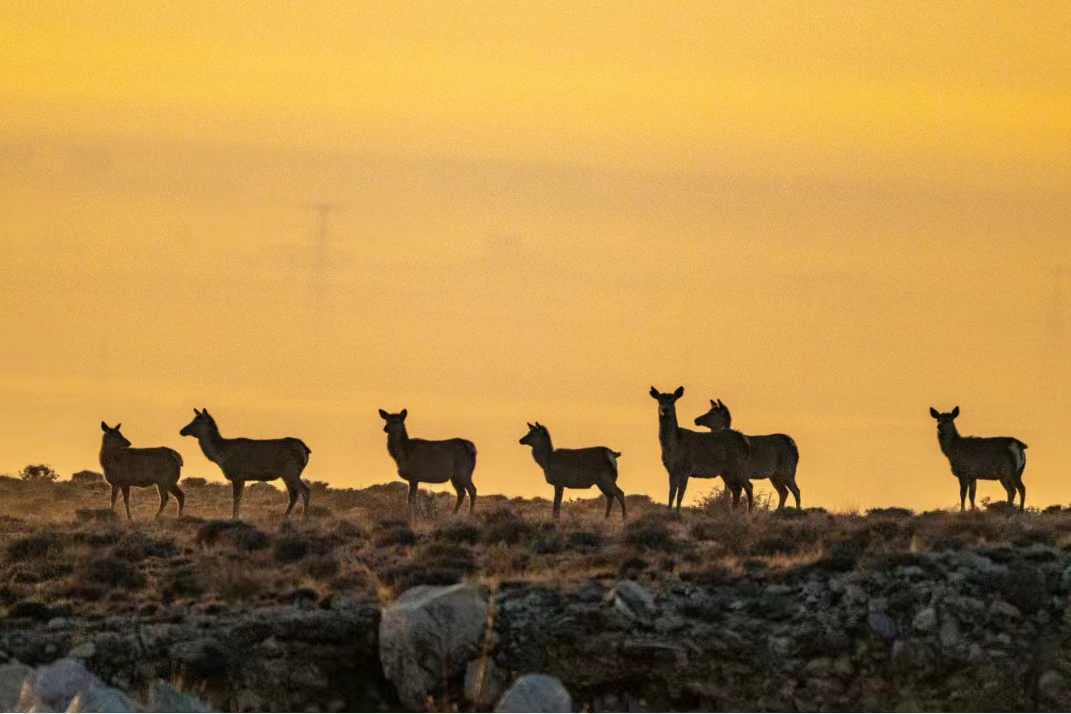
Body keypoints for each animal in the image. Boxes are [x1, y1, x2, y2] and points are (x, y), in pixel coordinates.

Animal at [177, 411, 312, 522]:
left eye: (197, 422)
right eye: (193, 419)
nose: (182, 431)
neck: (220, 455)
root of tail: (306, 450)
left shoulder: (237, 474)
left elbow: (236, 497)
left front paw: (234, 518)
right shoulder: (242, 477)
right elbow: (239, 497)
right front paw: (236, 517)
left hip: (291, 471)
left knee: (305, 490)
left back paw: (304, 519)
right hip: (288, 474)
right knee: (294, 494)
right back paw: (285, 517)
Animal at [642, 385, 753, 513]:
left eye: (673, 401)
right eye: (659, 400)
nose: (665, 409)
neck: (674, 445)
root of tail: (745, 442)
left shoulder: (686, 468)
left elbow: (680, 494)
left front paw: (678, 513)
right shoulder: (671, 469)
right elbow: (671, 494)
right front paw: (669, 512)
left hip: (738, 465)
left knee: (748, 486)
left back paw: (748, 513)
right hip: (726, 471)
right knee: (737, 489)